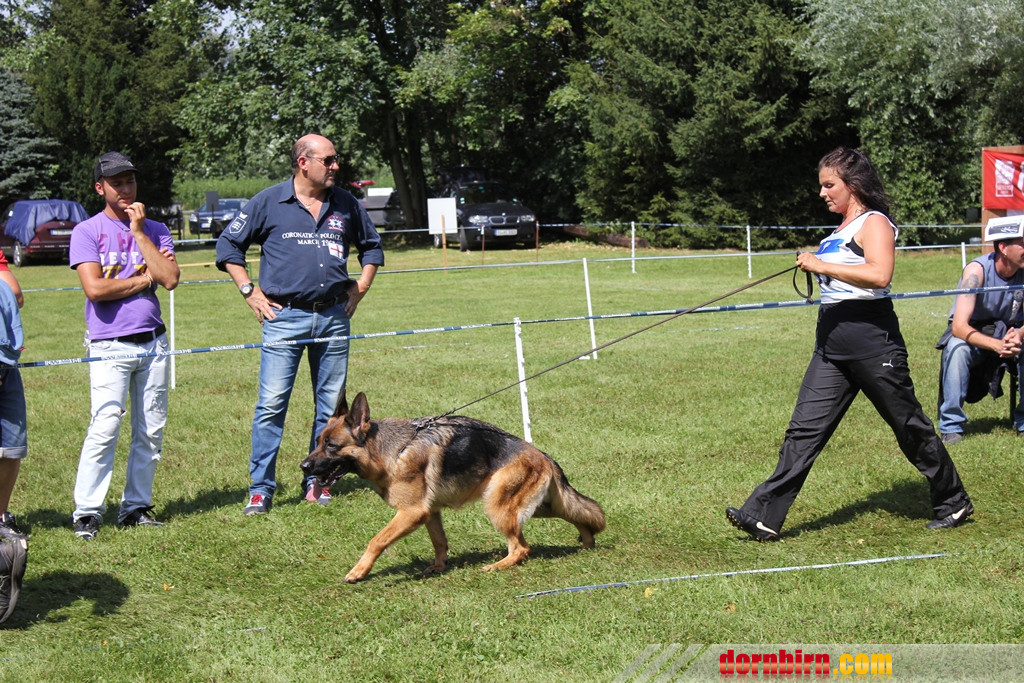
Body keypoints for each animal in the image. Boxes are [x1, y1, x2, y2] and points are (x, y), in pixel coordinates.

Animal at [300, 392, 606, 583]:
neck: (392, 450)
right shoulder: (430, 512)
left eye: (332, 446)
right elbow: (439, 541)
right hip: (541, 506)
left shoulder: (411, 512)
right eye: (318, 442)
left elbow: (377, 540)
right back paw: (587, 541)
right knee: (578, 514)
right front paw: (439, 567)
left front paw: (358, 572)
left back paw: (499, 565)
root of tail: (543, 455)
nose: (303, 467)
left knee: (521, 547)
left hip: (497, 506)